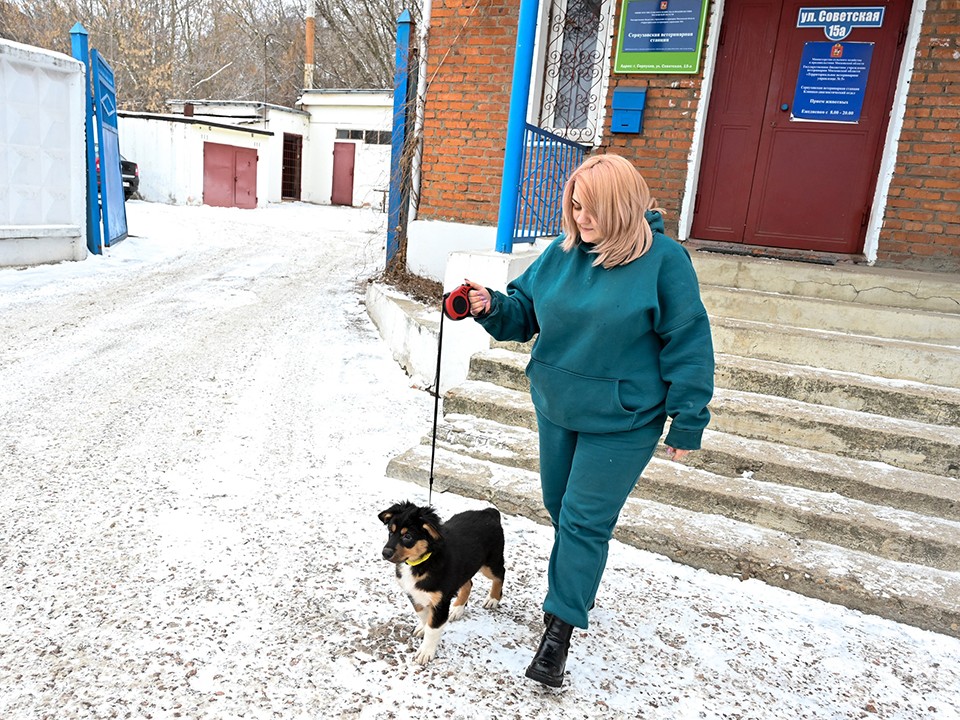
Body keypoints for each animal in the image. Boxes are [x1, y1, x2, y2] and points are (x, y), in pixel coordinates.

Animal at [378, 500, 506, 664]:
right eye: (390, 532)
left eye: (407, 536)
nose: (385, 553)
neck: (423, 562)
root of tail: (488, 512)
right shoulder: (414, 594)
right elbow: (423, 615)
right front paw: (422, 628)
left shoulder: (441, 601)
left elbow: (433, 628)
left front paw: (425, 652)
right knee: (468, 584)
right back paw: (457, 609)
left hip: (490, 563)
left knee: (500, 574)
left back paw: (492, 599)